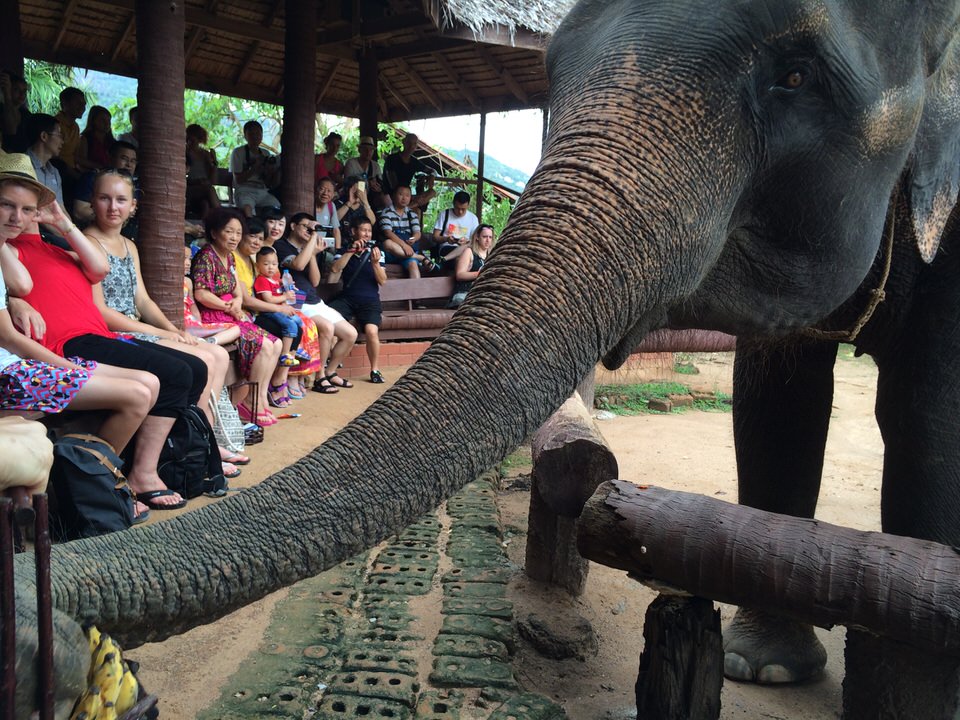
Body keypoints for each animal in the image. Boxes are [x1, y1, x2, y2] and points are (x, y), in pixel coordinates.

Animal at [11, 0, 960, 716]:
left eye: (797, 75)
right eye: (555, 65)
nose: (41, 629)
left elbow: (877, 415)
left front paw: (771, 670)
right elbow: (795, 399)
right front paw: (768, 669)